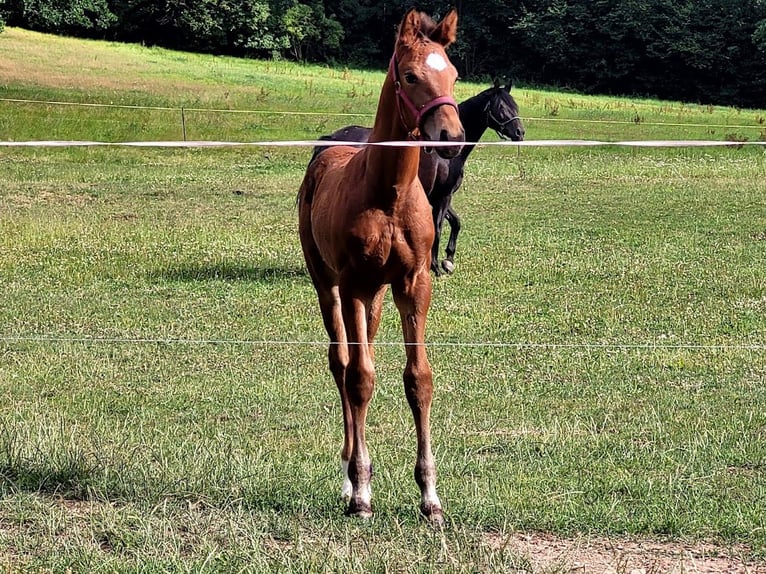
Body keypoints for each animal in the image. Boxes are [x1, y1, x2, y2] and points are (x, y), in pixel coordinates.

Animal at [296, 9, 464, 524]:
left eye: (454, 75)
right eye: (410, 76)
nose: (452, 138)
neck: (387, 194)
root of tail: (327, 149)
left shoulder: (413, 284)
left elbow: (418, 379)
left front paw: (430, 497)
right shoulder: (351, 284)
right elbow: (360, 377)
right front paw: (362, 491)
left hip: (375, 296)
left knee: (360, 353)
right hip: (328, 284)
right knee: (342, 363)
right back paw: (349, 470)